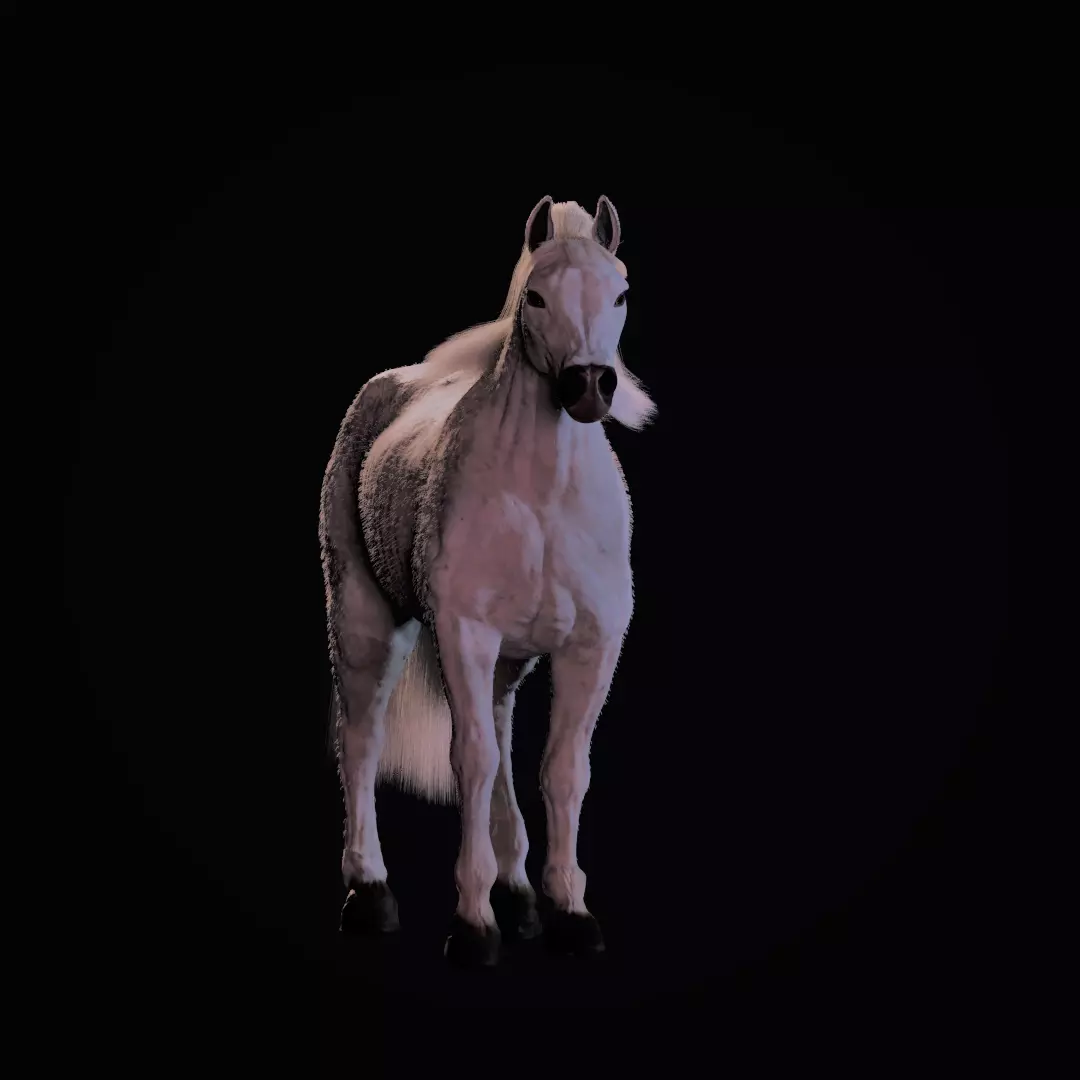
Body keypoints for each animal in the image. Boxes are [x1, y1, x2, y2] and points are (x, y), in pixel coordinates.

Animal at [319, 195, 656, 967]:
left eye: (620, 293)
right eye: (535, 296)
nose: (588, 386)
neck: (541, 497)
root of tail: (389, 385)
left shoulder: (592, 647)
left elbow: (563, 770)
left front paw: (570, 912)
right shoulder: (464, 635)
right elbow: (468, 760)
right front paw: (473, 928)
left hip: (505, 661)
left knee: (501, 739)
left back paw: (520, 895)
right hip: (364, 621)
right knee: (363, 738)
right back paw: (370, 893)